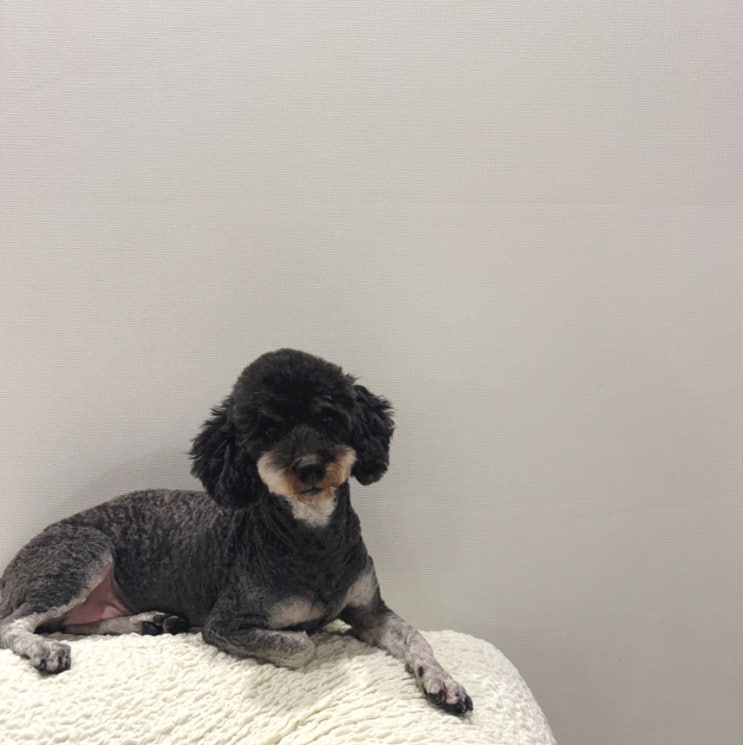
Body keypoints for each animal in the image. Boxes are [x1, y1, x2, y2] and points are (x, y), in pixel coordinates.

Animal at [0, 349, 472, 714]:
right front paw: (306, 636)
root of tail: (11, 570)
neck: (312, 538)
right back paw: (46, 650)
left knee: (70, 623)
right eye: (268, 429)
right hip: (83, 554)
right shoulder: (225, 623)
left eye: (329, 418)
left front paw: (443, 681)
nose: (310, 468)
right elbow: (304, 645)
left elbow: (415, 638)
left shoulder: (370, 610)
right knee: (16, 625)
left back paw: (147, 621)